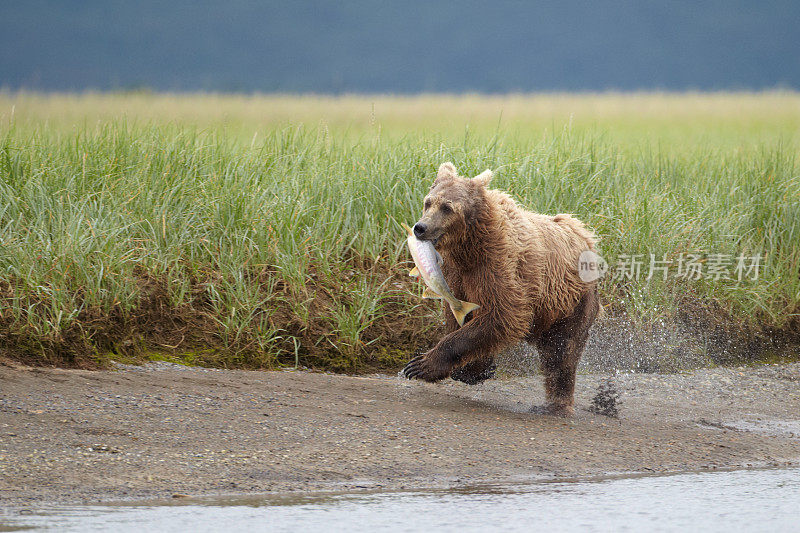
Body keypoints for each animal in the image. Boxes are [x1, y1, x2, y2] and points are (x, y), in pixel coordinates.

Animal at [400, 162, 600, 416]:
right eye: (428, 202)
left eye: (447, 207)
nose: (420, 227)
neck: (469, 246)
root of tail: (586, 236)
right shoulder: (456, 275)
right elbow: (459, 315)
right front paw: (474, 369)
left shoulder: (497, 266)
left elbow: (502, 314)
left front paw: (420, 366)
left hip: (571, 302)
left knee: (562, 352)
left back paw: (556, 404)